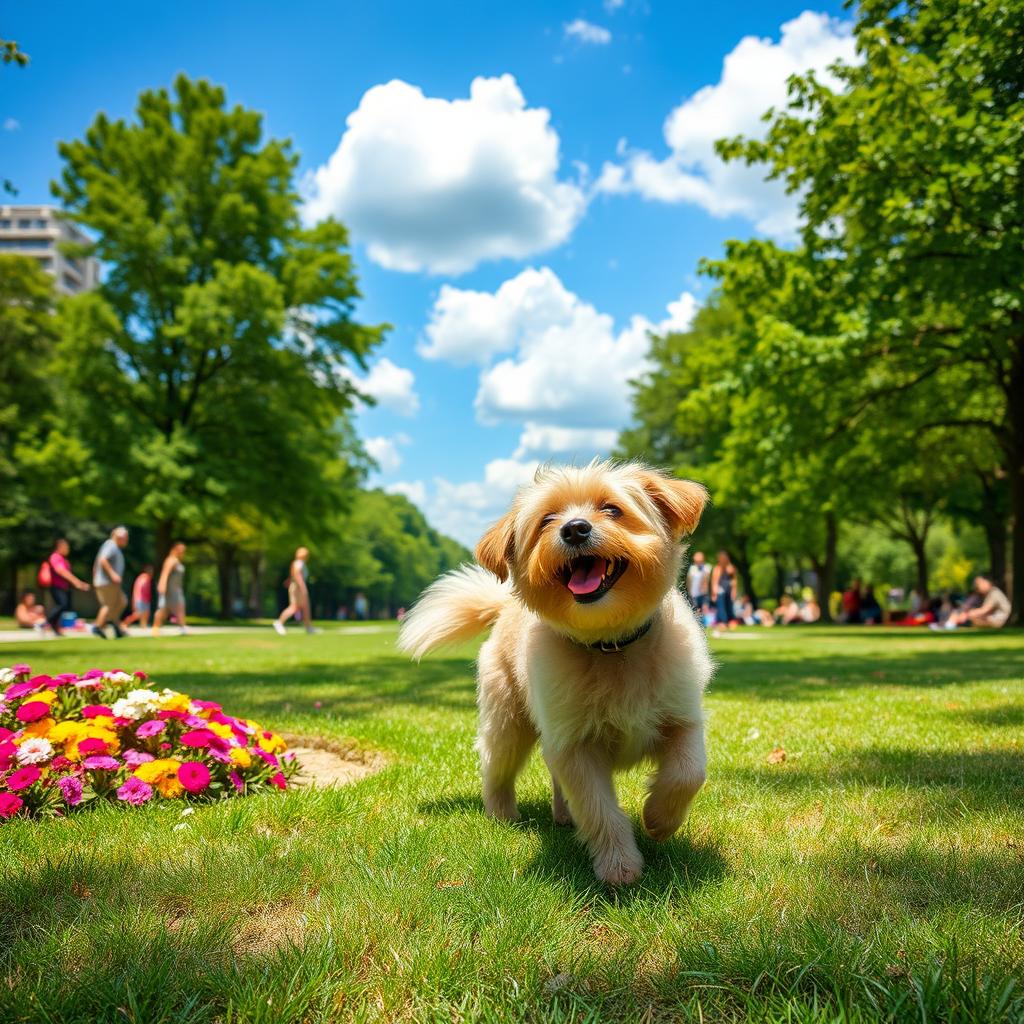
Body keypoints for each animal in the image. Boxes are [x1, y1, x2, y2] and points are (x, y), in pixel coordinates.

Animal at [397, 460, 712, 884]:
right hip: (508, 724)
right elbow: (599, 809)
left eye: (612, 509)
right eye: (547, 520)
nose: (574, 528)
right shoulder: (576, 746)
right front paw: (619, 866)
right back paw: (502, 815)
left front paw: (659, 819)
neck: (610, 645)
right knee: (495, 767)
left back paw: (563, 815)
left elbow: (688, 772)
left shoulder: (682, 718)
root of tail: (505, 608)